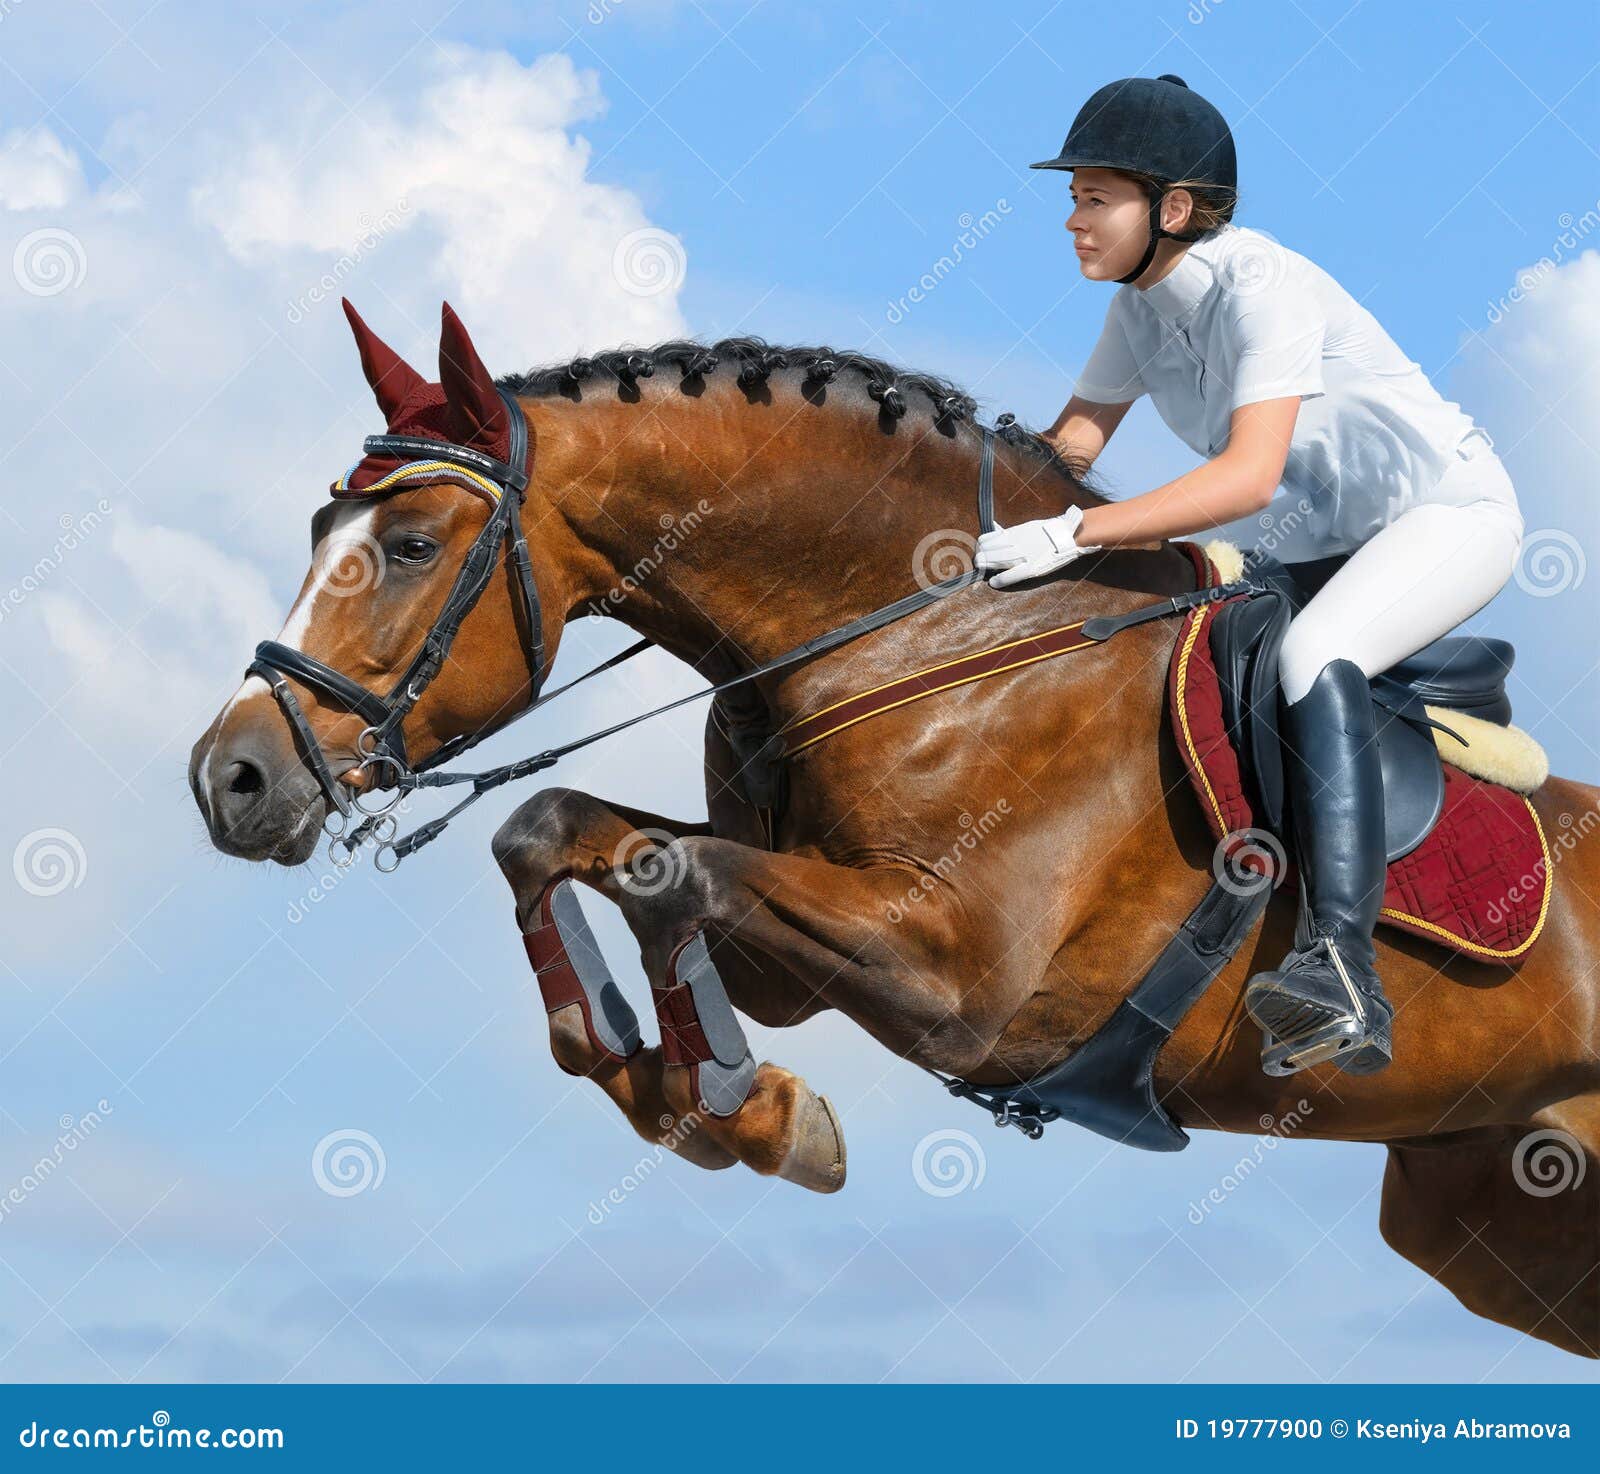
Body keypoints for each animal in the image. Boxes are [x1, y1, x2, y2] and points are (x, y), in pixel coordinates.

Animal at [190, 299, 1600, 1357]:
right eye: (321, 527)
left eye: (413, 544)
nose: (231, 780)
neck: (929, 631)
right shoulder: (802, 941)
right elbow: (575, 840)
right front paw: (725, 1103)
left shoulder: (961, 980)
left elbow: (664, 870)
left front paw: (742, 1105)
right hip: (1502, 1219)